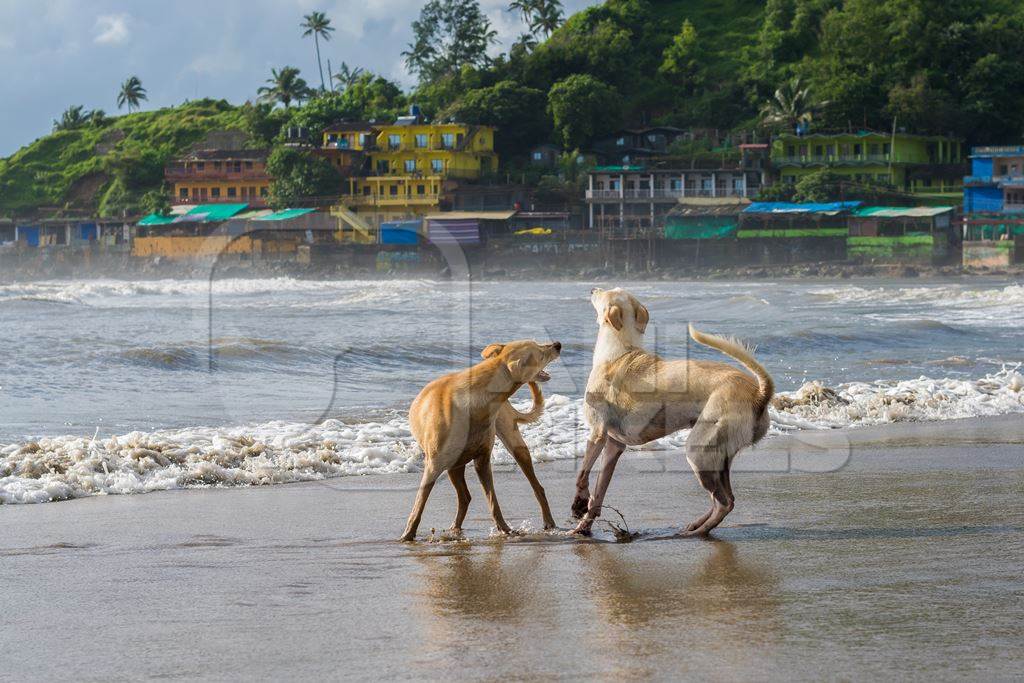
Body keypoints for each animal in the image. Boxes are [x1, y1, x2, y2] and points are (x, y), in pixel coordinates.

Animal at [399, 339, 561, 540]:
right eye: (539, 351)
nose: (558, 344)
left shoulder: (482, 460)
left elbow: (493, 502)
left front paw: (505, 529)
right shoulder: (433, 466)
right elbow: (419, 504)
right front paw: (408, 534)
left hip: (516, 447)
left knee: (537, 487)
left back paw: (549, 521)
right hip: (454, 465)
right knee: (464, 497)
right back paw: (455, 528)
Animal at [573, 286, 770, 536]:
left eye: (604, 293)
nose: (592, 289)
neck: (620, 349)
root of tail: (759, 395)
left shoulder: (597, 434)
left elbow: (582, 475)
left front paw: (578, 503)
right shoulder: (614, 446)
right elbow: (598, 494)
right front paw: (583, 526)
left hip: (698, 453)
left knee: (723, 503)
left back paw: (697, 532)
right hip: (720, 458)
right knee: (727, 499)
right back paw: (696, 524)